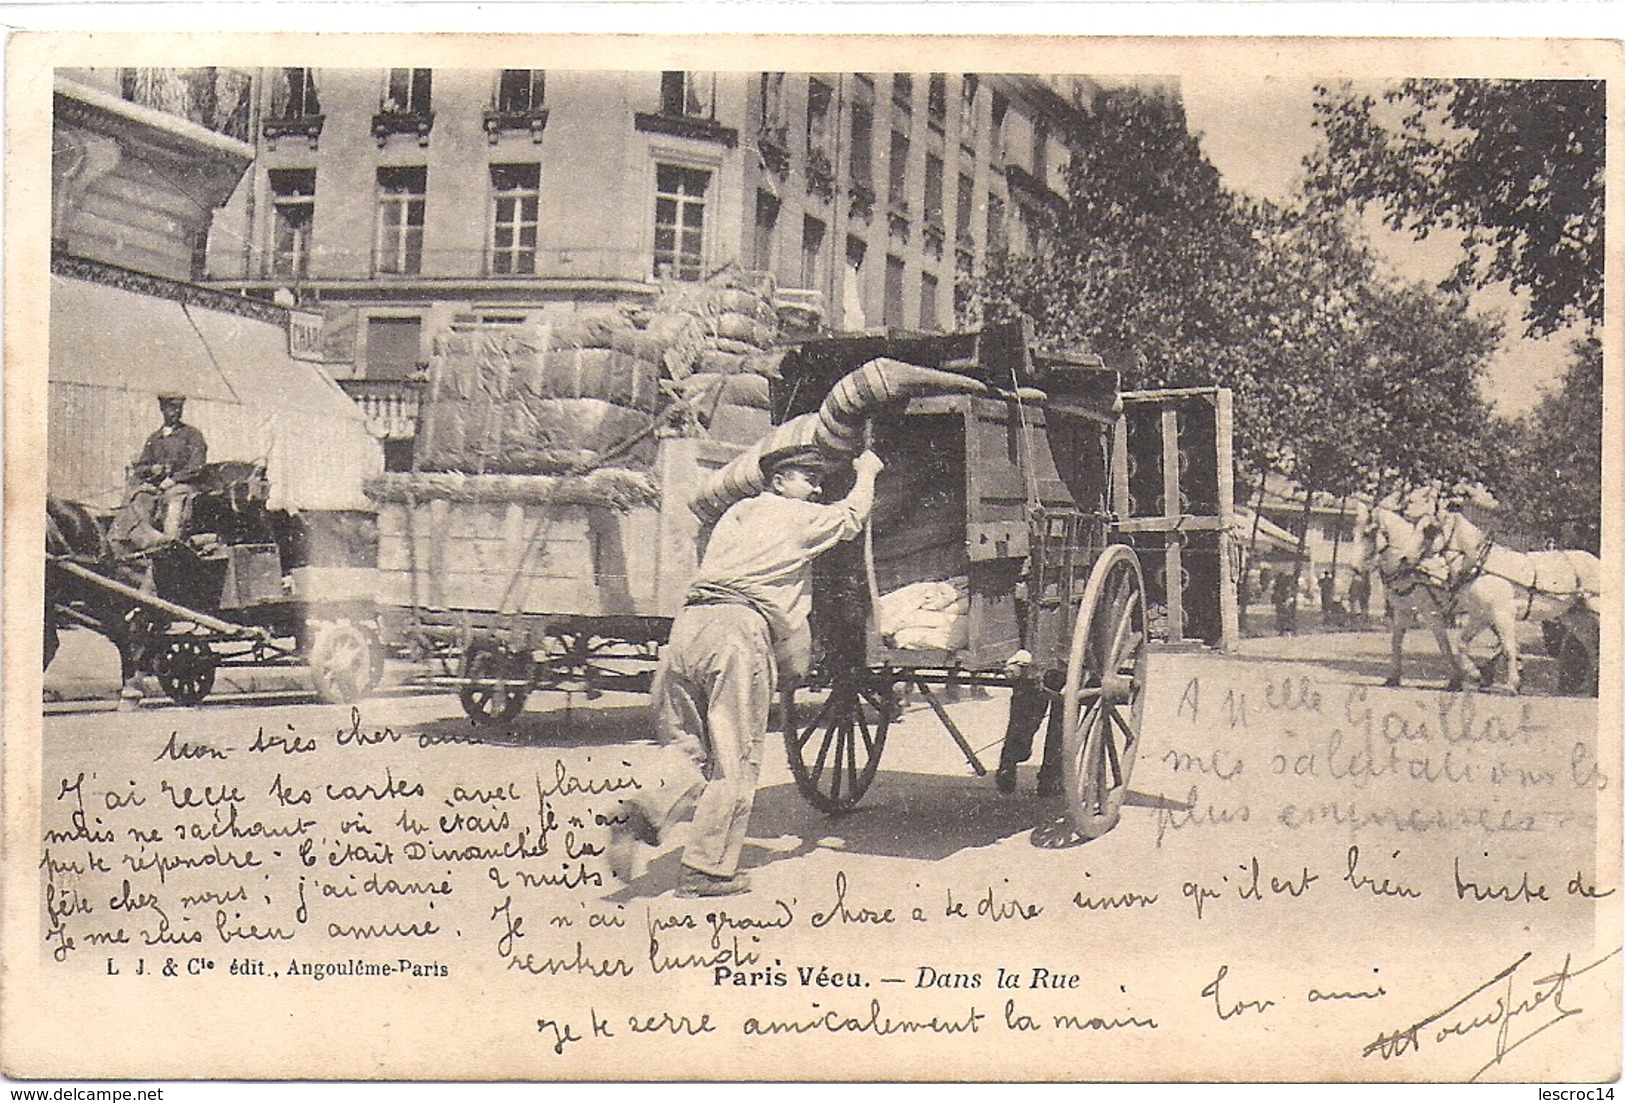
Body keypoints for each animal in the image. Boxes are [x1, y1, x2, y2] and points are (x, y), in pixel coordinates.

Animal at [1358, 497, 1599, 695]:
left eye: (1430, 531)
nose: (1405, 559)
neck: (1479, 566)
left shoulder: (1492, 615)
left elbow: (1503, 647)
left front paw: (1506, 684)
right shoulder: (1477, 615)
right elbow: (1452, 644)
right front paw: (1475, 674)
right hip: (1575, 616)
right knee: (1592, 645)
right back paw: (1591, 686)